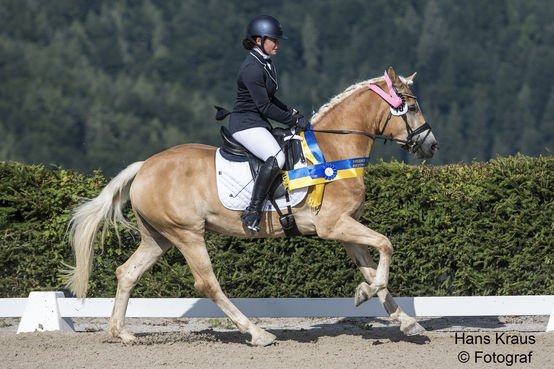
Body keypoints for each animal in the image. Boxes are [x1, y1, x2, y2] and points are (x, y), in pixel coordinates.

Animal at [63, 66, 436, 344]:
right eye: (412, 106)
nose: (431, 145)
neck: (335, 151)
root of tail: (144, 166)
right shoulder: (333, 225)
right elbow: (385, 246)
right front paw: (365, 294)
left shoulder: (344, 229)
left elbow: (373, 268)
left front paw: (404, 320)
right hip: (187, 234)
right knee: (207, 284)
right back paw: (257, 333)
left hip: (159, 237)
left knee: (128, 272)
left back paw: (122, 333)